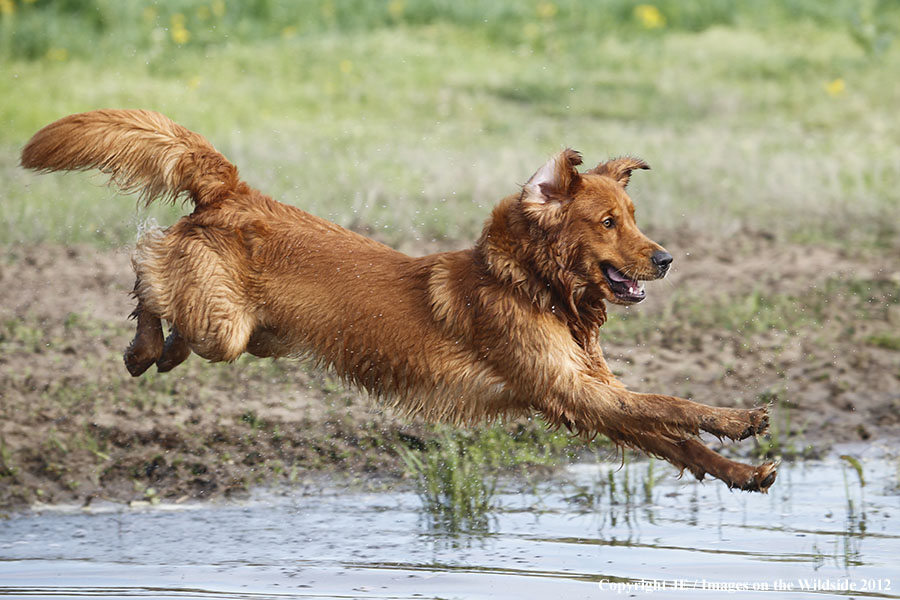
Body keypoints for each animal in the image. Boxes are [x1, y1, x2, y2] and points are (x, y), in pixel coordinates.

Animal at [24, 109, 776, 492]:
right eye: (609, 222)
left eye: (636, 217)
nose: (666, 258)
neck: (532, 285)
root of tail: (233, 190)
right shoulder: (569, 390)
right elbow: (673, 405)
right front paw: (740, 418)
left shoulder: (589, 395)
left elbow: (675, 438)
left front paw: (742, 471)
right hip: (226, 325)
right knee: (146, 264)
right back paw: (140, 345)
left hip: (252, 332)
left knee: (169, 300)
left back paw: (158, 352)